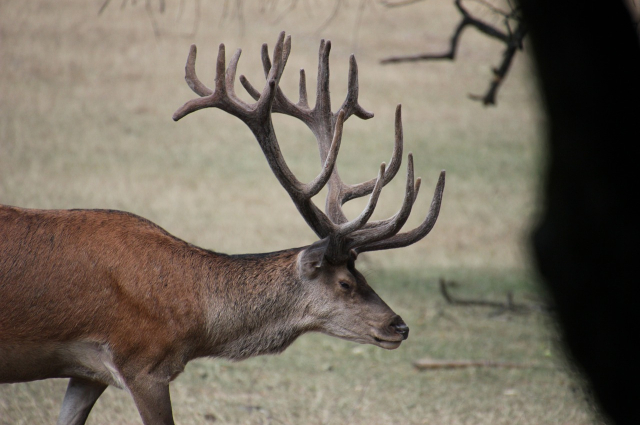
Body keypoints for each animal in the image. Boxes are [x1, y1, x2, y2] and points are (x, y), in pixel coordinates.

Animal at [0, 33, 444, 424]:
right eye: (346, 283)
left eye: (363, 275)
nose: (399, 326)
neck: (194, 320)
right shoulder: (140, 361)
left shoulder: (87, 373)